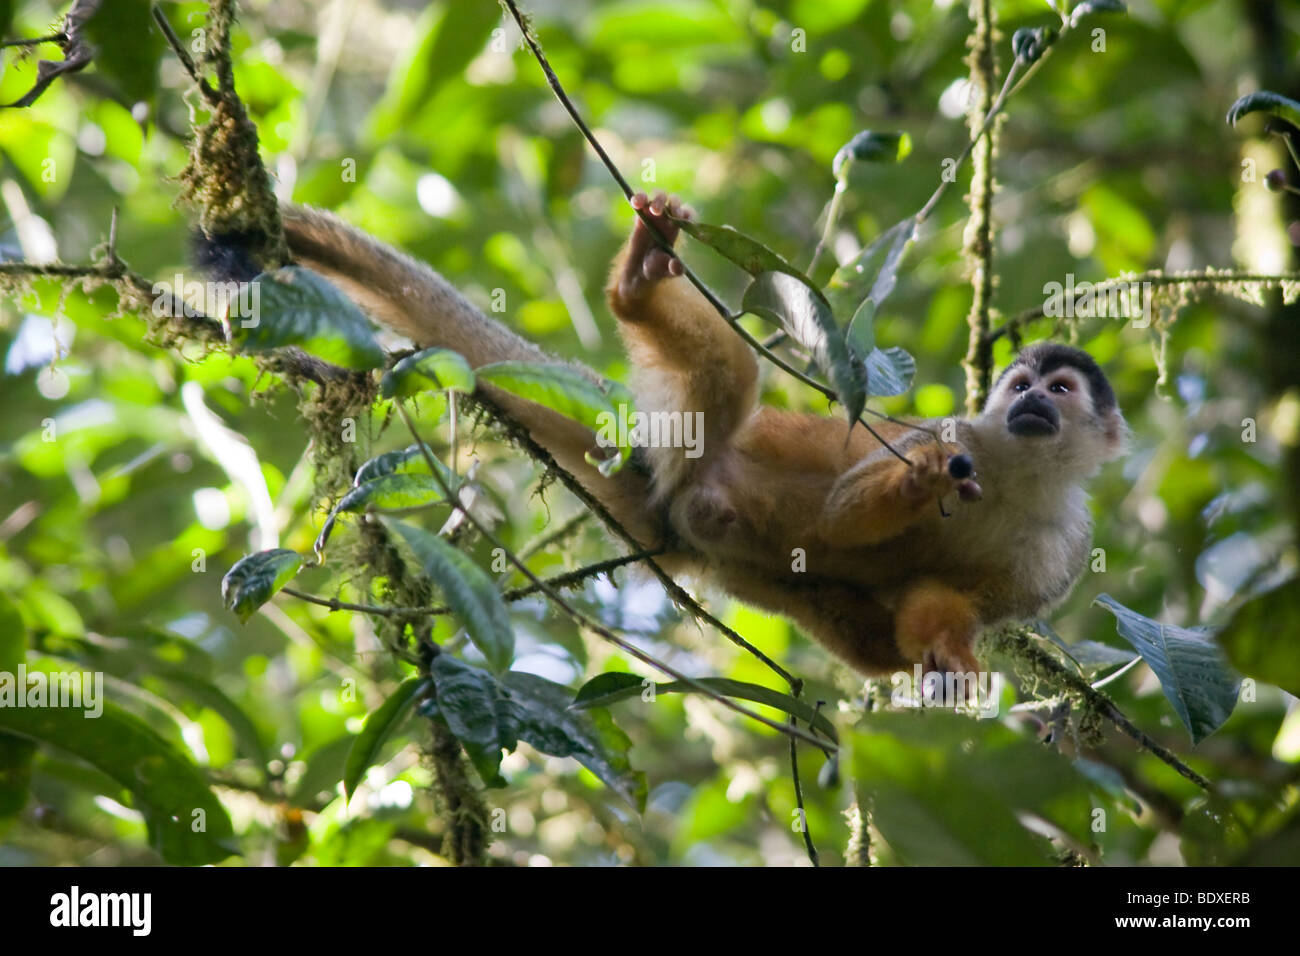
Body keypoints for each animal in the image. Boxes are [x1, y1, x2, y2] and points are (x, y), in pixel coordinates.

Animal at [218, 188, 1123, 681]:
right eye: (1019, 385)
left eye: (1060, 390)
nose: (1030, 402)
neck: (1016, 472)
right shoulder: (949, 423)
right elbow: (846, 505)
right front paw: (926, 478)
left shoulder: (1057, 559)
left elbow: (941, 606)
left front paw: (949, 655)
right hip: (686, 444)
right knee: (730, 378)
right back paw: (640, 282)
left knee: (851, 623)